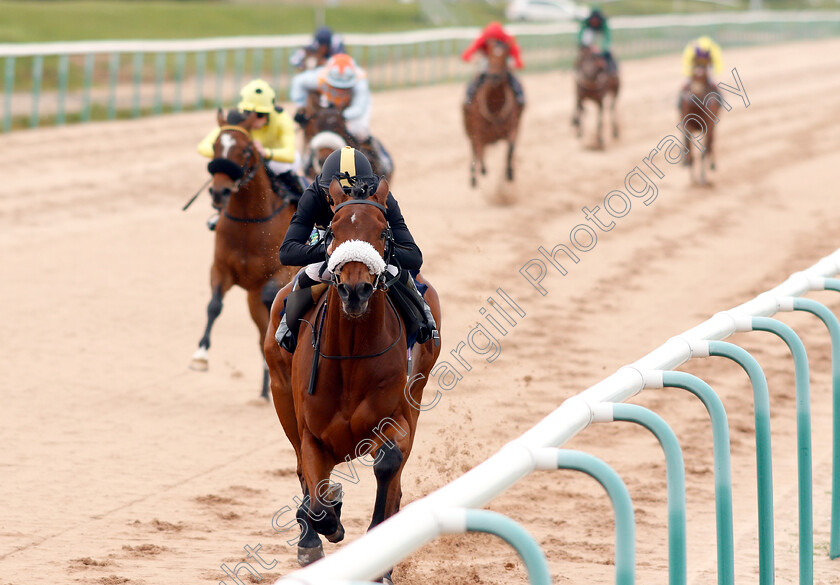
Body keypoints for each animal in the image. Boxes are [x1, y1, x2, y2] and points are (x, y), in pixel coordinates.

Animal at [190, 110, 298, 396]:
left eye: (246, 150)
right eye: (216, 145)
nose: (220, 191)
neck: (250, 223)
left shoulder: (282, 272)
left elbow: (271, 294)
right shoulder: (220, 268)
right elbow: (214, 305)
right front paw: (200, 355)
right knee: (261, 338)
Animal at [266, 178, 442, 580]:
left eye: (383, 232)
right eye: (332, 231)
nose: (355, 289)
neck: (349, 357)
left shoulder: (396, 419)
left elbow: (389, 463)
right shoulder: (312, 435)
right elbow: (316, 497)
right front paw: (320, 528)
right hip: (281, 397)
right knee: (302, 470)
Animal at [462, 37, 520, 187]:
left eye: (505, 55)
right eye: (490, 54)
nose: (494, 76)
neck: (495, 106)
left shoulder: (513, 127)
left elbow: (510, 149)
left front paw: (510, 173)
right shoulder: (477, 132)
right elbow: (479, 152)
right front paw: (479, 172)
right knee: (475, 151)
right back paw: (475, 175)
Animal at [680, 54, 720, 186]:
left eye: (704, 75)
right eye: (693, 74)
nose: (693, 97)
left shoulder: (708, 126)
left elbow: (703, 151)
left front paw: (702, 178)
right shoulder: (687, 126)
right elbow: (690, 149)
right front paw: (692, 177)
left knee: (711, 142)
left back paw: (712, 165)